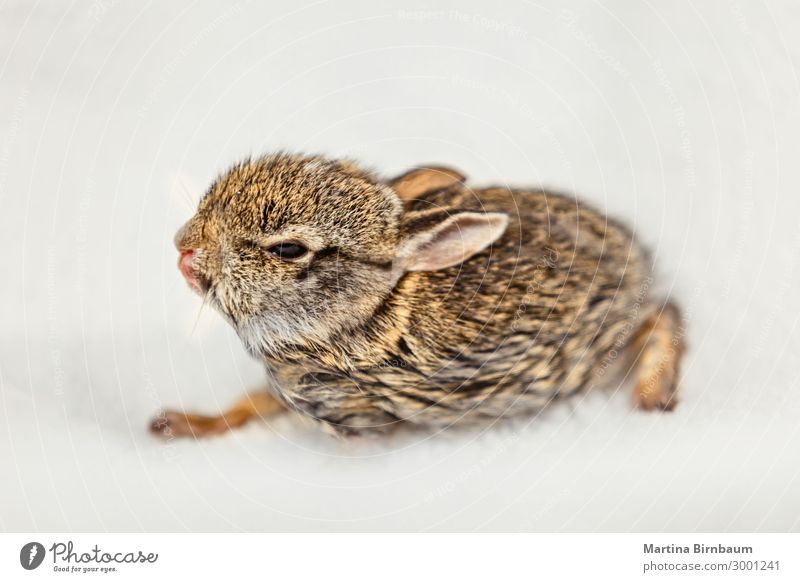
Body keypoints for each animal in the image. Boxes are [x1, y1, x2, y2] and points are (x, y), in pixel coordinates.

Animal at [152, 153, 688, 440]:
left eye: (288, 250)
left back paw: (652, 396)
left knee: (663, 315)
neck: (368, 311)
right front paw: (180, 424)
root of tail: (635, 259)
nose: (183, 248)